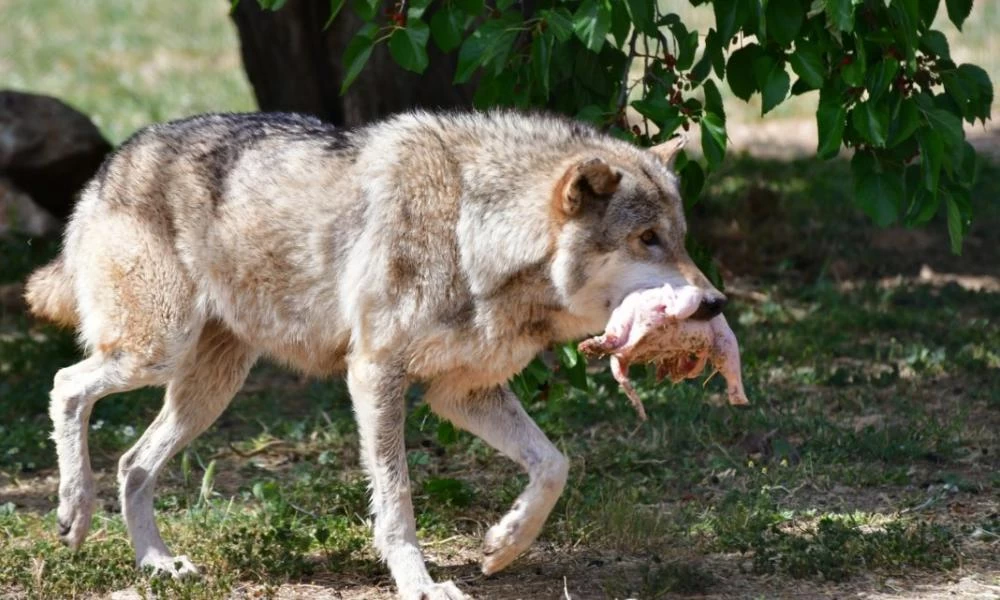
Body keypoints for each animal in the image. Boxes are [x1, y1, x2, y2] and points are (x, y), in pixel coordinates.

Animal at [25, 110, 728, 596]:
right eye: (647, 238)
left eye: (680, 238)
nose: (715, 302)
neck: (472, 231)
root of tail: (111, 164)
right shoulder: (375, 376)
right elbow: (397, 503)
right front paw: (419, 583)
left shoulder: (460, 393)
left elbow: (554, 466)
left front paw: (503, 545)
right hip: (156, 353)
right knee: (66, 385)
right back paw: (73, 513)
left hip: (209, 389)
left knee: (133, 463)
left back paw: (157, 564)